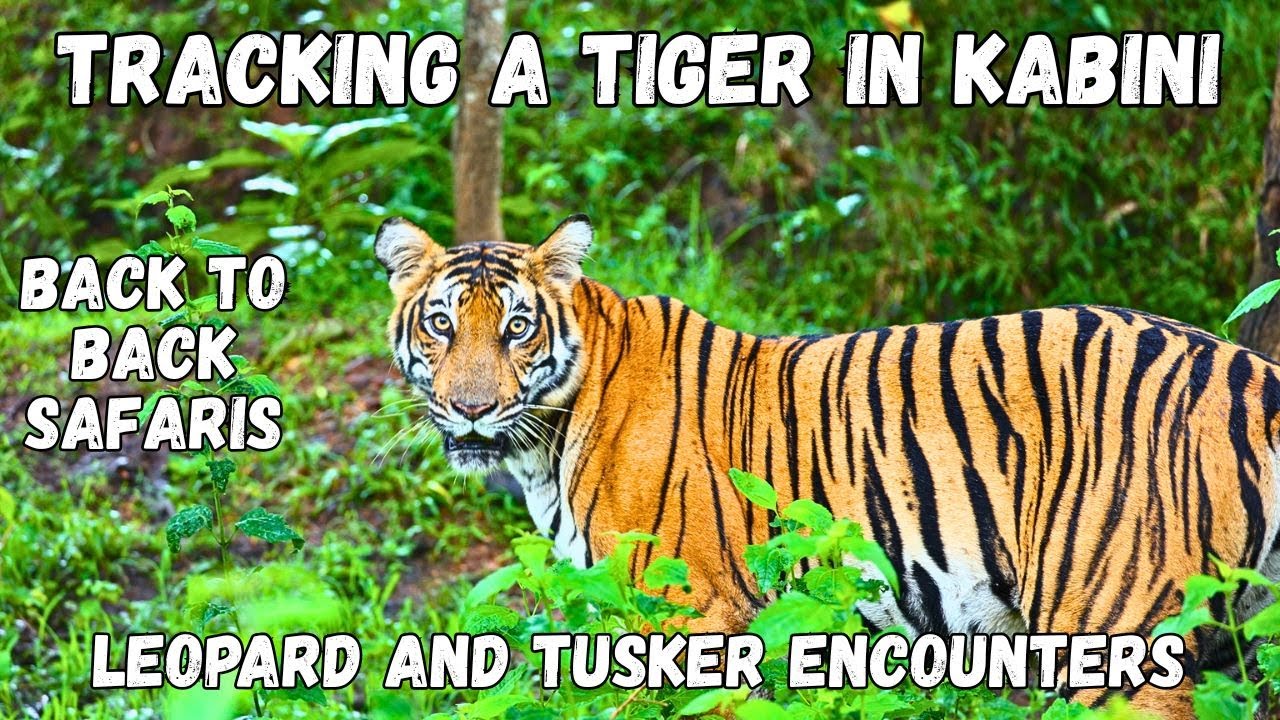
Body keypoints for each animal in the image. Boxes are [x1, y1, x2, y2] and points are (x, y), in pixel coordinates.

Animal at [375, 213, 1280, 718]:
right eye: (442, 324)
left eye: (518, 328)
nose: (471, 409)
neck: (545, 443)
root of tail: (1245, 364)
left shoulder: (690, 616)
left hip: (1113, 638)